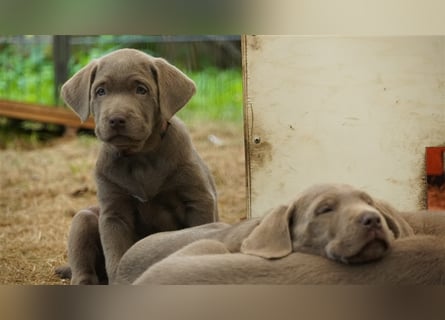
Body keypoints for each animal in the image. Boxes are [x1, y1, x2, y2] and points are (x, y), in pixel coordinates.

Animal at [56, 48, 219, 284]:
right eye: (101, 91)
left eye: (141, 90)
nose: (116, 119)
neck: (140, 157)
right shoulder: (114, 213)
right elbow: (116, 256)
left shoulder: (199, 200)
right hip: (83, 219)